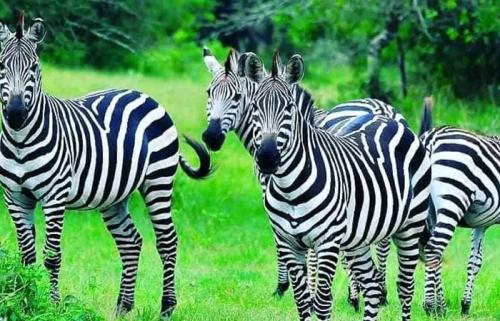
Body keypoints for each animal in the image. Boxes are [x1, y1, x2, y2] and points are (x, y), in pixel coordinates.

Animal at [0, 16, 212, 316]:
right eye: (1, 66)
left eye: (34, 67)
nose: (16, 114)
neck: (20, 141)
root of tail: (144, 95)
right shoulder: (15, 197)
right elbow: (26, 257)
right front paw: (25, 300)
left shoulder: (54, 196)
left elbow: (52, 256)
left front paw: (51, 306)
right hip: (114, 196)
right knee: (130, 242)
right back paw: (122, 307)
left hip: (158, 181)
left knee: (167, 241)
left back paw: (167, 307)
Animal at [201, 47, 400, 304]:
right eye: (209, 93)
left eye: (236, 97)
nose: (212, 137)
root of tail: (382, 109)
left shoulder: (279, 194)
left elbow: (287, 244)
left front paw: (285, 287)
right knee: (383, 239)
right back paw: (379, 292)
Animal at [242, 51, 430, 318]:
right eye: (255, 107)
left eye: (289, 108)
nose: (267, 158)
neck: (290, 190)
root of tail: (388, 118)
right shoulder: (288, 243)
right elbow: (301, 301)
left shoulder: (327, 243)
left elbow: (322, 301)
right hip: (358, 239)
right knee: (372, 284)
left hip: (410, 226)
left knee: (405, 287)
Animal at [418, 96, 500, 314]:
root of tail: (431, 138)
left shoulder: (481, 224)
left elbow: (475, 262)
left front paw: (465, 305)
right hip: (453, 199)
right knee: (434, 249)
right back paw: (430, 306)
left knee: (432, 251)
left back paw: (441, 307)